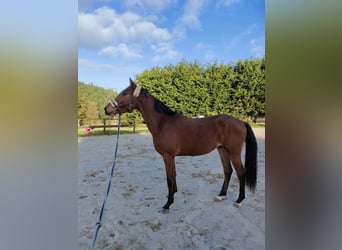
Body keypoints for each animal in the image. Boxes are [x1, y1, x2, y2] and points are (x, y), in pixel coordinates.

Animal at [104, 79, 256, 212]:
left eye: (124, 93)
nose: (106, 109)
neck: (163, 123)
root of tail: (241, 122)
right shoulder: (171, 157)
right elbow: (174, 175)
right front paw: (174, 194)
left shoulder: (167, 156)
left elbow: (169, 178)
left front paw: (167, 204)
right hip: (222, 150)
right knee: (227, 171)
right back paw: (221, 195)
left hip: (234, 152)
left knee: (240, 172)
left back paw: (239, 200)